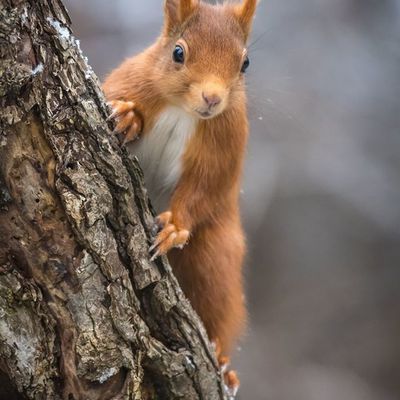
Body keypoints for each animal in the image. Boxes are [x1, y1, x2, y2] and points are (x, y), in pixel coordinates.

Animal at [103, 0, 258, 394]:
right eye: (178, 52)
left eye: (245, 63)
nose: (212, 98)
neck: (181, 109)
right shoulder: (128, 81)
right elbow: (120, 100)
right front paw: (128, 117)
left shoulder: (225, 145)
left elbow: (204, 189)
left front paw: (174, 227)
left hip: (214, 256)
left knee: (217, 308)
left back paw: (222, 361)